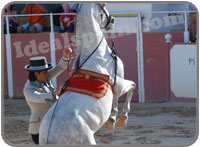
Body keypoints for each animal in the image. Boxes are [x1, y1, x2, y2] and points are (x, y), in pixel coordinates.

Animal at [39, 2, 136, 144]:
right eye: (104, 5)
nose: (112, 20)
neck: (95, 53)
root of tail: (50, 138)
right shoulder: (118, 84)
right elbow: (132, 86)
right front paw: (120, 118)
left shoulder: (116, 85)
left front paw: (112, 119)